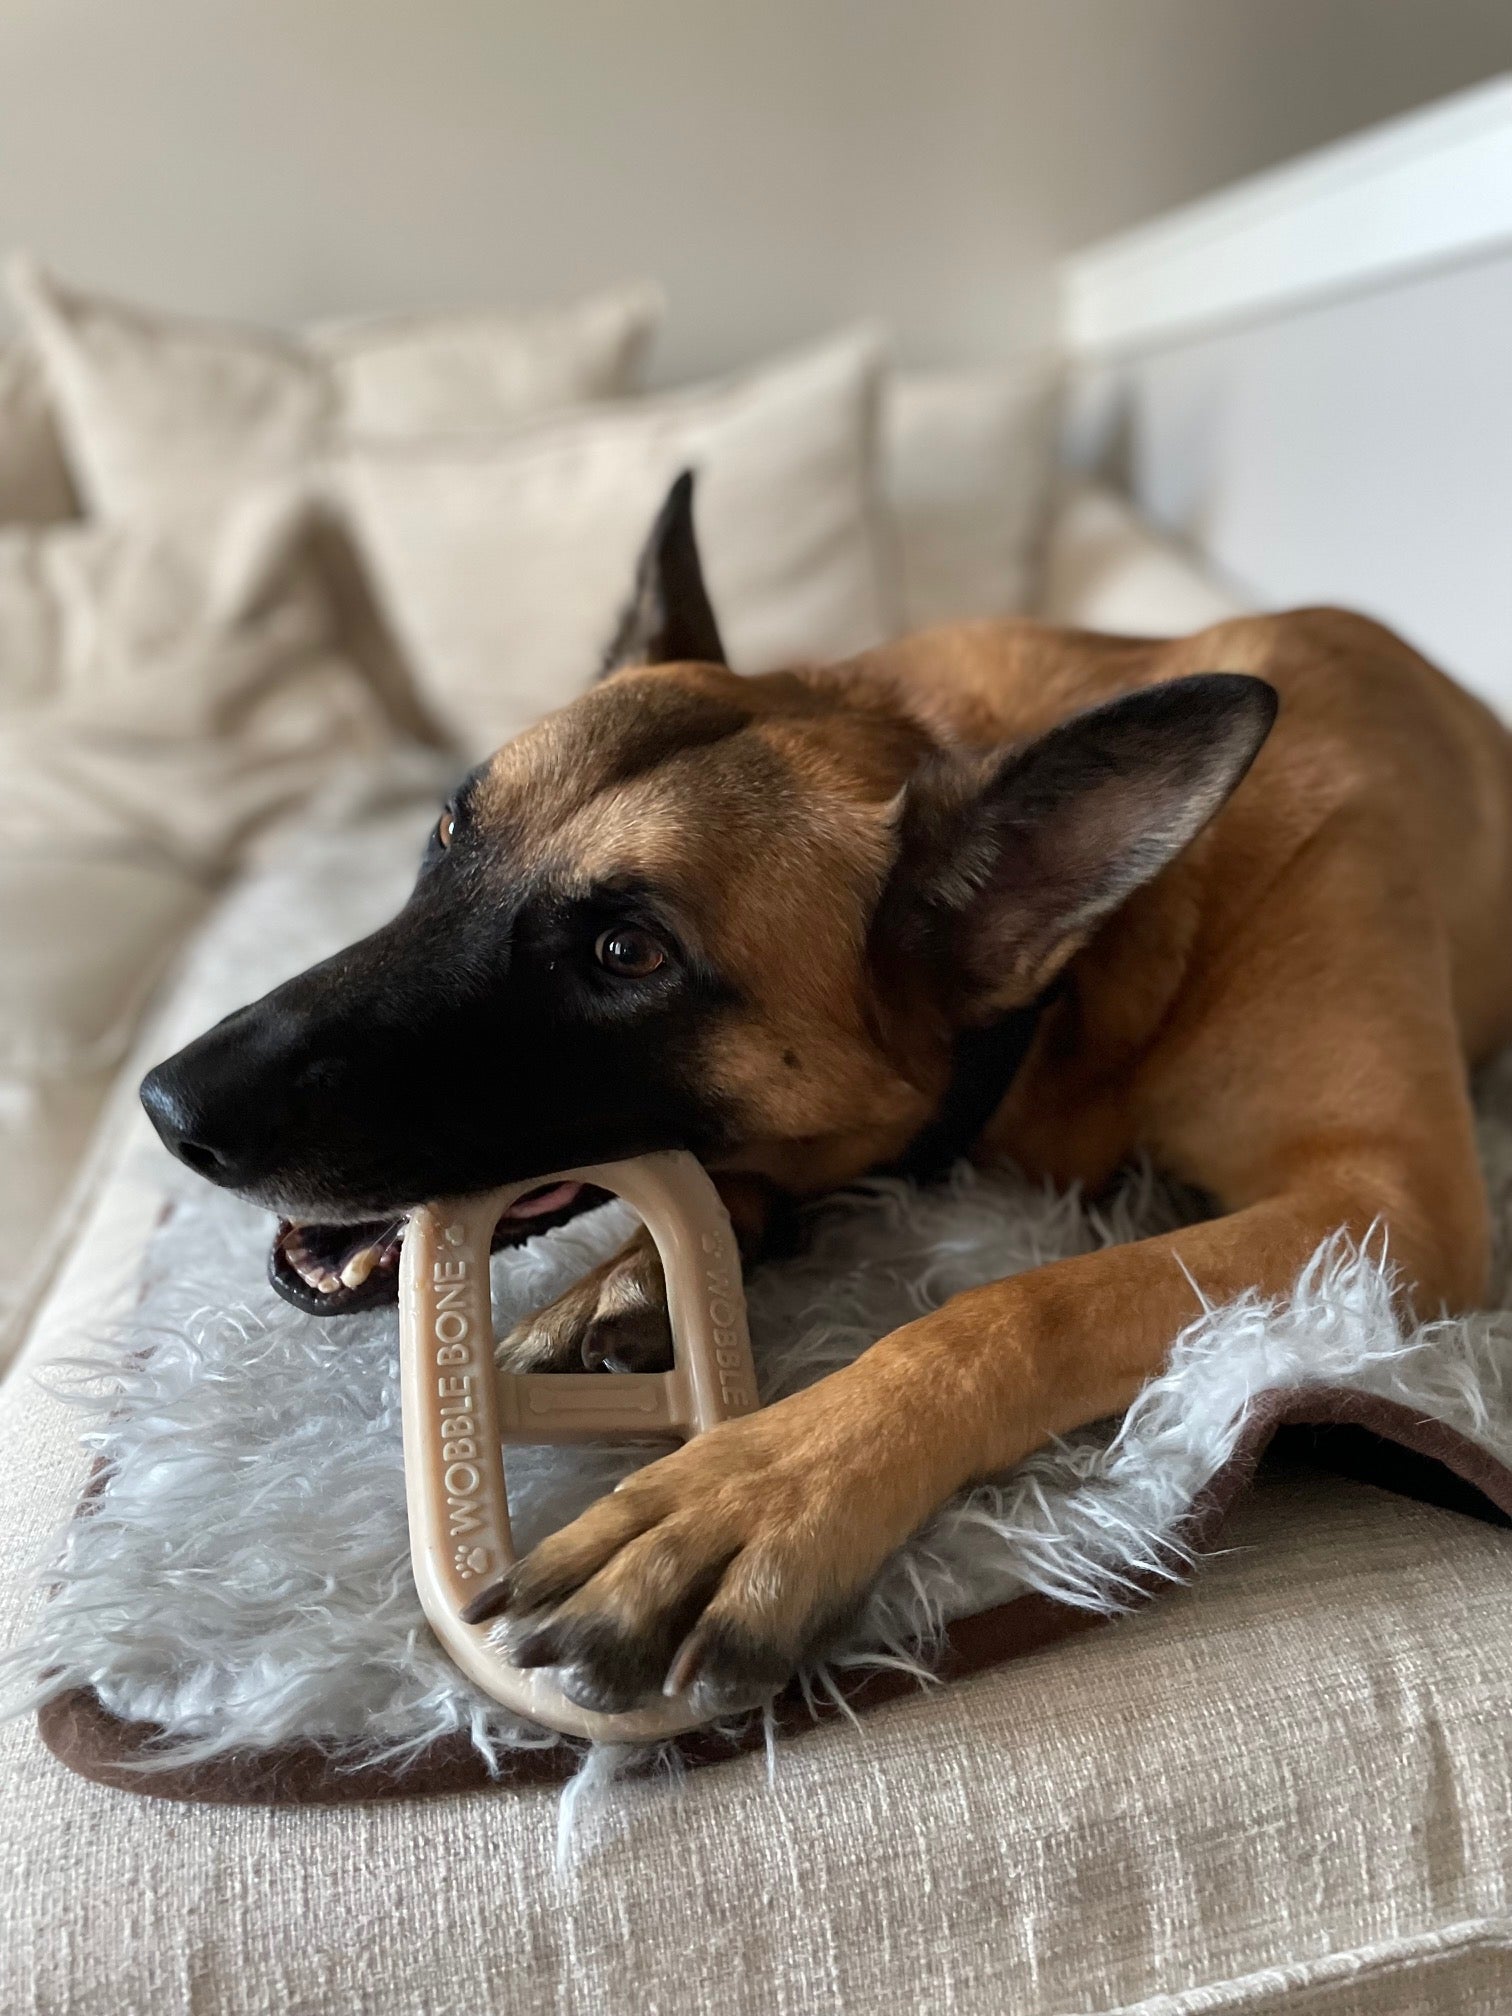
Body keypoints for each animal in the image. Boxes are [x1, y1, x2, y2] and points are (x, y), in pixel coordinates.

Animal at [139, 475, 1512, 1717]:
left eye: (626, 955)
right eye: (445, 834)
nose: (169, 1107)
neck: (1075, 995)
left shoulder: (1383, 1203)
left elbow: (1025, 1306)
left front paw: (760, 1490)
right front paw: (630, 1279)